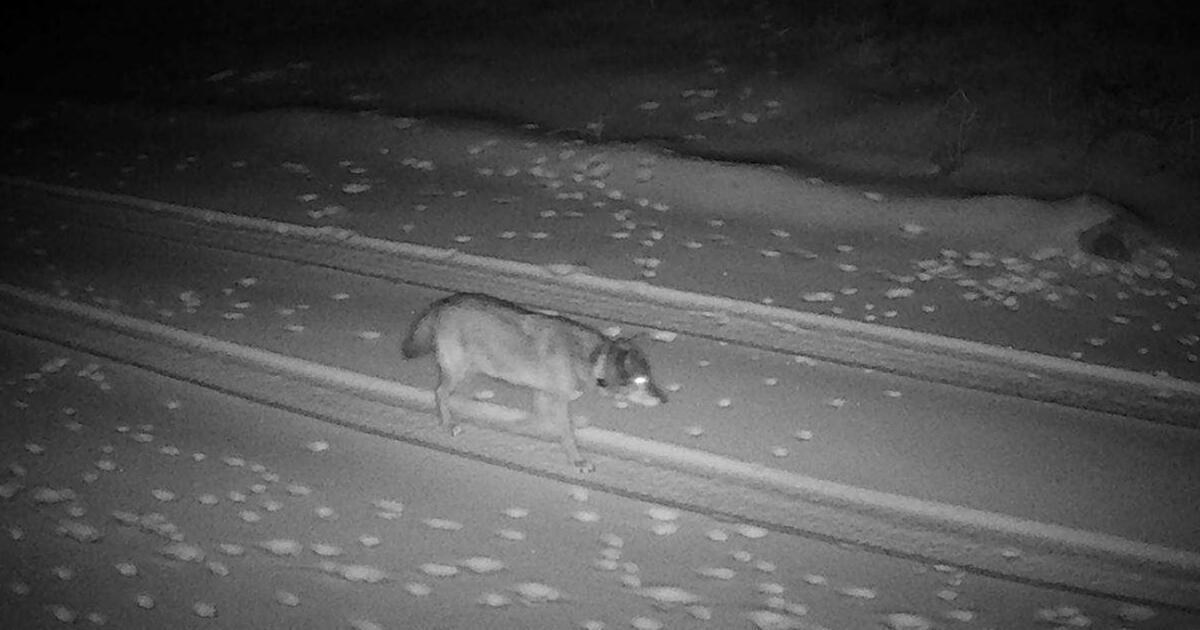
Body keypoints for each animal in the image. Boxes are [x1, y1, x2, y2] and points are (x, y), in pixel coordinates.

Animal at [401, 292, 667, 472]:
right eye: (641, 380)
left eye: (651, 377)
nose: (665, 400)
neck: (591, 360)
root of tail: (444, 302)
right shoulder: (558, 401)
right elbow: (567, 434)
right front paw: (578, 461)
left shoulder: (542, 394)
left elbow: (536, 420)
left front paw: (516, 427)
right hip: (457, 371)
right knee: (439, 393)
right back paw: (449, 425)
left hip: (470, 371)